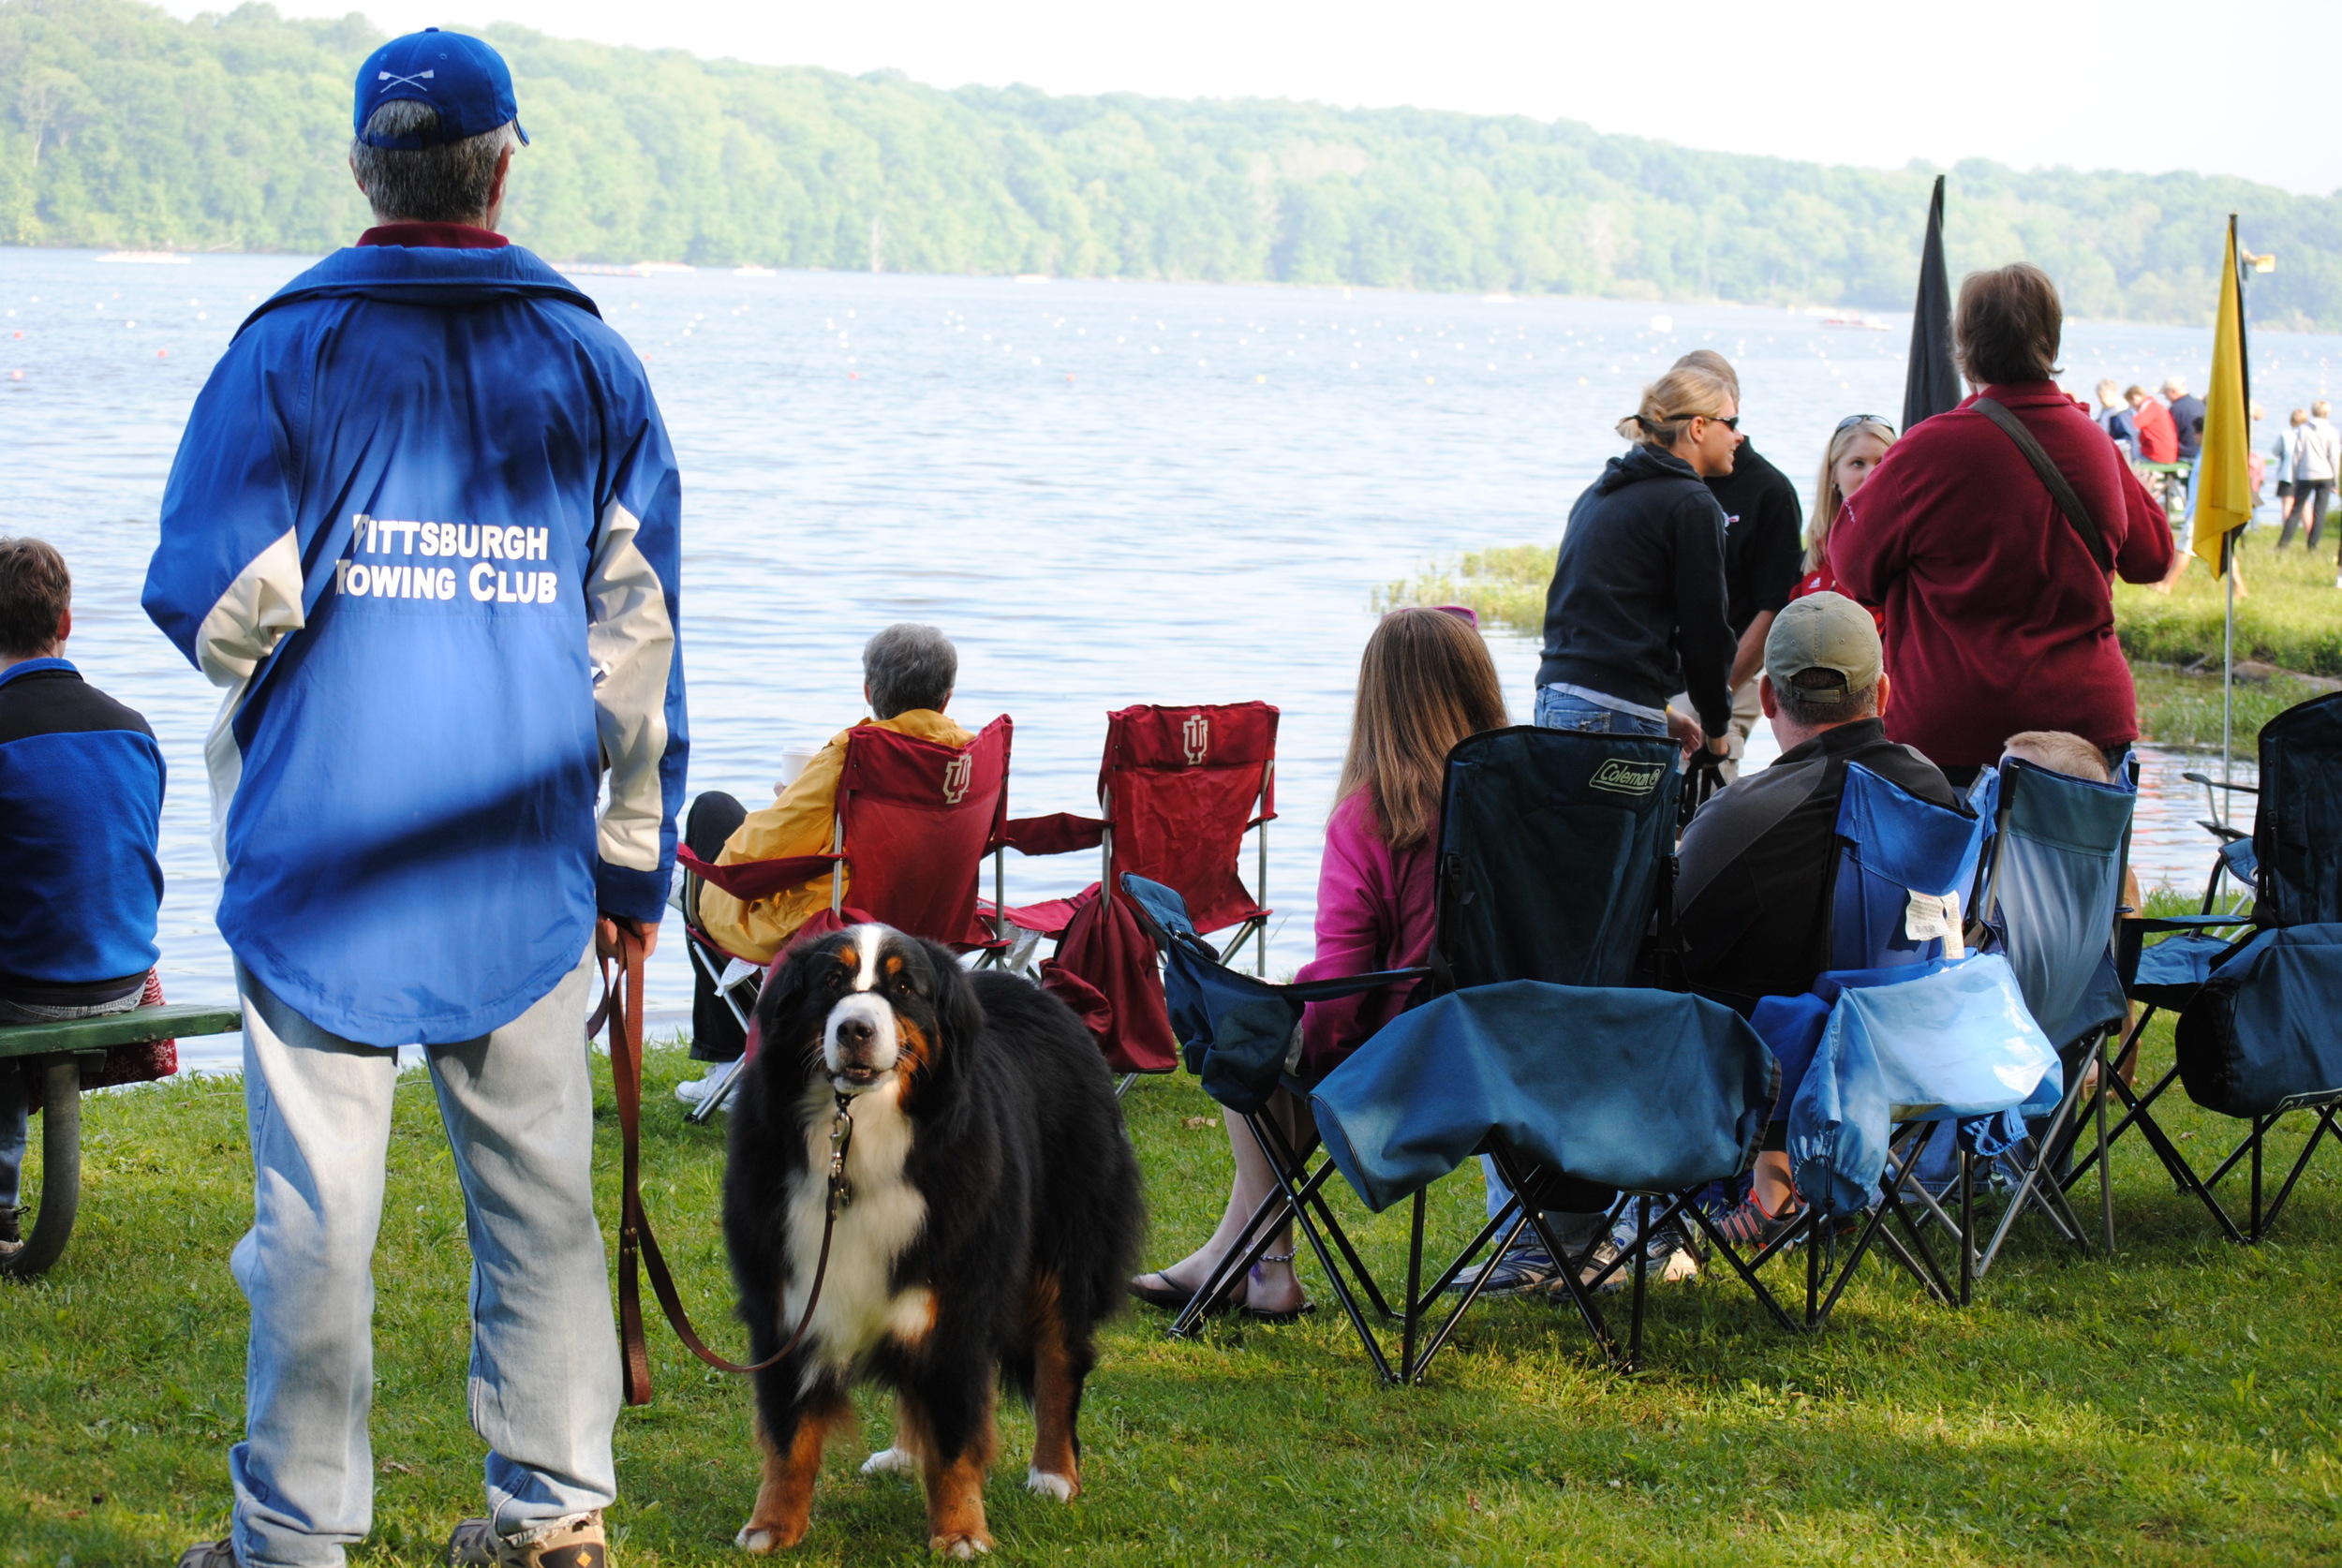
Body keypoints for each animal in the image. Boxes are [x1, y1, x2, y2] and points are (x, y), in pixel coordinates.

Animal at [721, 922, 1143, 1563]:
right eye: (832, 980)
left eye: (903, 988)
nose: (855, 1029)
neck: (856, 1144)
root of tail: (1045, 993)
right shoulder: (785, 1303)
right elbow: (787, 1432)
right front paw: (771, 1527)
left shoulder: (956, 1306)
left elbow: (954, 1435)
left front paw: (961, 1532)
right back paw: (902, 1454)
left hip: (1065, 1250)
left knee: (1059, 1359)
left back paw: (1054, 1474)